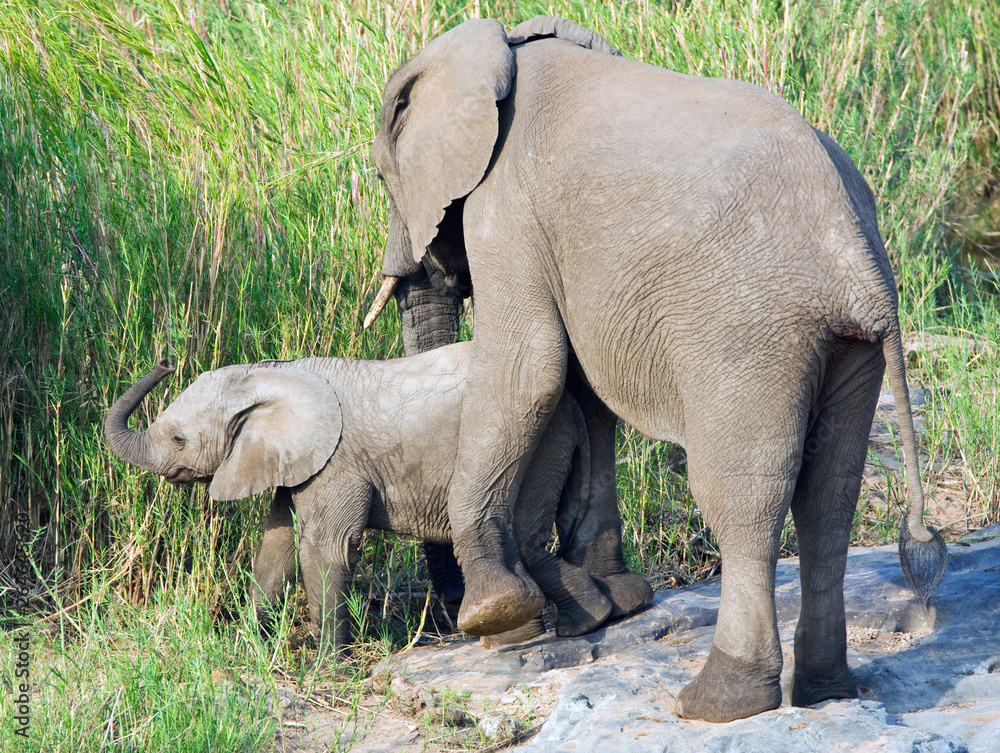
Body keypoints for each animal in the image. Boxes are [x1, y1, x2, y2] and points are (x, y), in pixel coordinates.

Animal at [104, 343, 652, 649]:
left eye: (178, 439)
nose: (165, 360)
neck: (272, 373)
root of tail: (573, 409)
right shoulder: (293, 460)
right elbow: (275, 547)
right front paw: (248, 647)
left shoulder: (336, 462)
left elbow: (325, 548)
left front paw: (330, 664)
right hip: (554, 446)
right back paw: (591, 620)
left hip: (533, 445)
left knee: (522, 537)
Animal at [364, 16, 947, 722]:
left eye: (384, 179)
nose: (453, 615)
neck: (504, 43)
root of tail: (860, 263)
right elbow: (579, 391)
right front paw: (610, 605)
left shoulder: (507, 208)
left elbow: (528, 368)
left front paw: (497, 614)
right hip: (847, 346)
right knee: (830, 497)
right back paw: (824, 691)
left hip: (746, 330)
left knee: (743, 493)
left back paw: (717, 702)